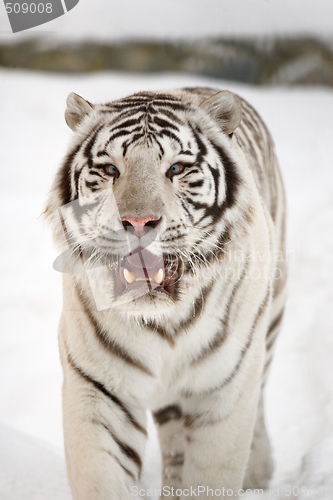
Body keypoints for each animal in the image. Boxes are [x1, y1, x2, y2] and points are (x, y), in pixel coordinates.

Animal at [45, 88, 286, 500]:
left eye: (175, 169)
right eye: (110, 170)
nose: (139, 222)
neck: (166, 321)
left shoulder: (224, 391)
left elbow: (213, 475)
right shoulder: (99, 389)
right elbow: (102, 477)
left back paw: (259, 473)